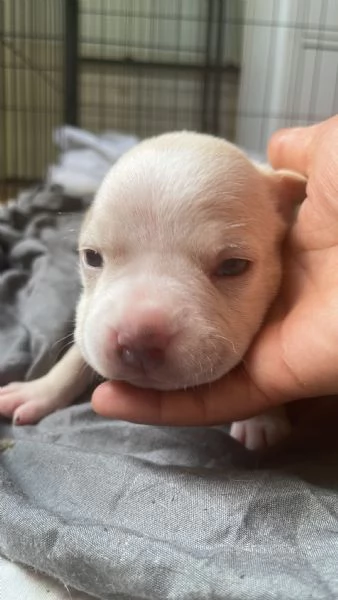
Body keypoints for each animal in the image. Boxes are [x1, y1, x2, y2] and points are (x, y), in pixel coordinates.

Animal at [0, 132, 306, 450]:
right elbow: (77, 351)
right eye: (92, 257)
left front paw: (262, 417)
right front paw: (39, 390)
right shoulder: (90, 314)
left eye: (233, 266)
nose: (138, 340)